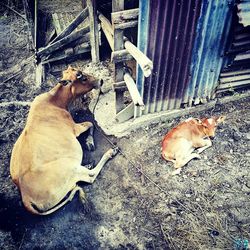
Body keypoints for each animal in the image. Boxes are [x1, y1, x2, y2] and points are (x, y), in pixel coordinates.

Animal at [10, 66, 117, 215]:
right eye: (83, 78)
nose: (100, 81)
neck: (54, 101)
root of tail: (25, 197)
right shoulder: (75, 128)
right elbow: (91, 123)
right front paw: (89, 142)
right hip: (68, 167)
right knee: (90, 176)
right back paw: (109, 153)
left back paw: (89, 164)